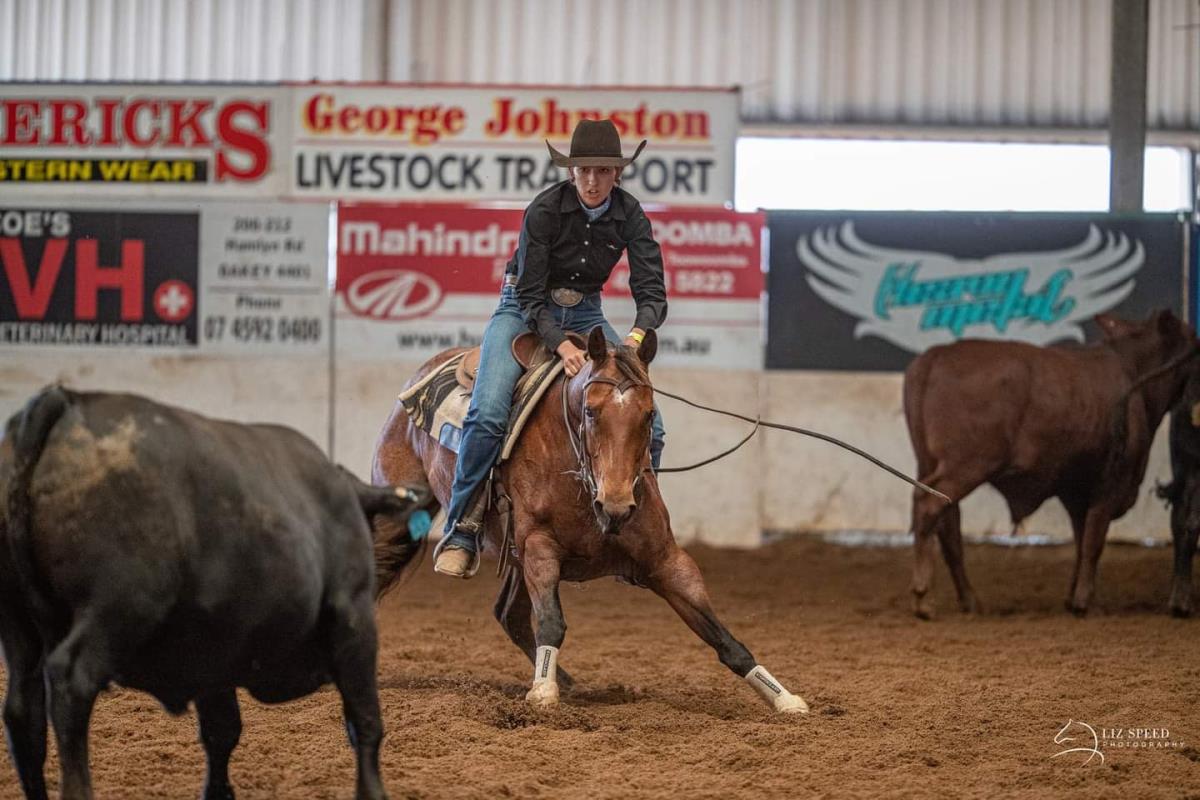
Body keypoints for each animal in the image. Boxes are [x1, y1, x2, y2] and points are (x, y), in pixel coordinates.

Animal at [0, 387, 432, 800]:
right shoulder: (353, 620)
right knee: (71, 681)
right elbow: (365, 720)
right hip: (117, 610)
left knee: (24, 709)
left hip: (20, 627)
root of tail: (66, 401)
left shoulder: (213, 651)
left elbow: (222, 731)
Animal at [371, 326, 807, 713]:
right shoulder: (539, 546)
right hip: (402, 517)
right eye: (590, 411)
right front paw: (543, 694)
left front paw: (784, 698)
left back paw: (566, 681)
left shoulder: (666, 560)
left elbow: (724, 638)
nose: (616, 506)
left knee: (510, 615)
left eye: (648, 415)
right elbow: (552, 622)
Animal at [903, 309, 1198, 619]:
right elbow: (1094, 541)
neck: (1133, 373)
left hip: (930, 463)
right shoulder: (1109, 482)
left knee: (948, 525)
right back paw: (923, 596)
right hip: (967, 465)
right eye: (1192, 337)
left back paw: (969, 600)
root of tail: (935, 356)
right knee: (928, 506)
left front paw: (1073, 597)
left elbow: (1081, 541)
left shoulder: (1076, 490)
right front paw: (1083, 601)